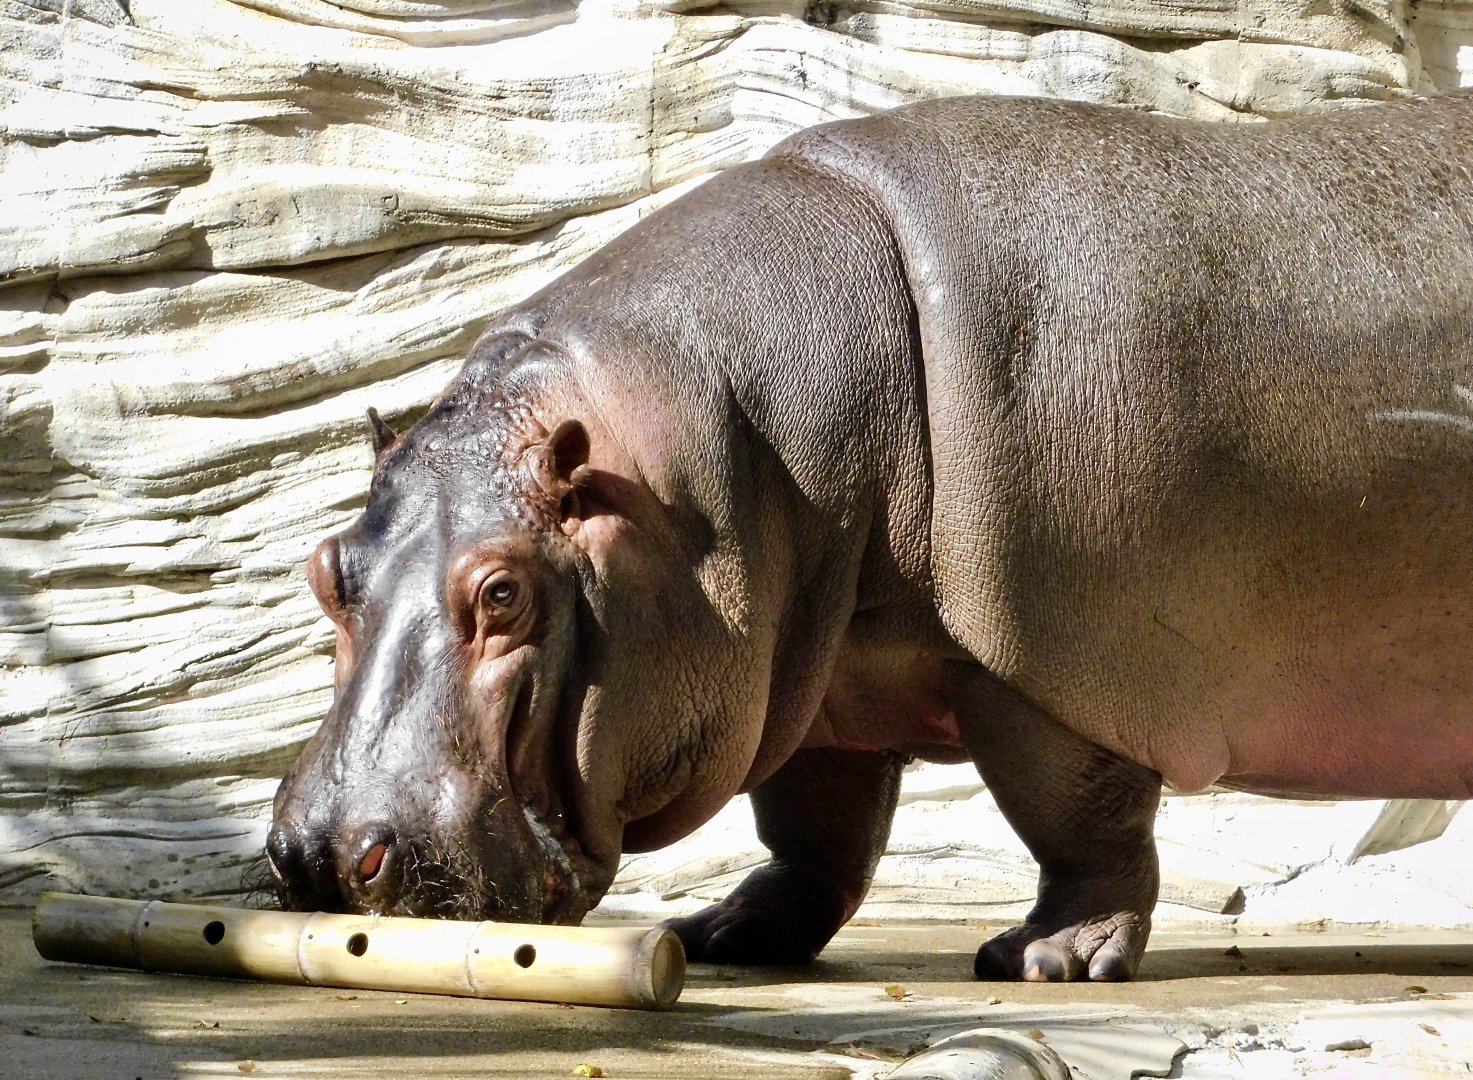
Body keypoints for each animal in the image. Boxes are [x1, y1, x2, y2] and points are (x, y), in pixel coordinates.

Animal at [268, 91, 1473, 982]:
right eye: (327, 571)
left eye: (505, 593)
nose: (320, 853)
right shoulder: (809, 665)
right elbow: (815, 822)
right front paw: (729, 937)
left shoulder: (1043, 660)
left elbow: (1077, 812)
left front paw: (1050, 959)